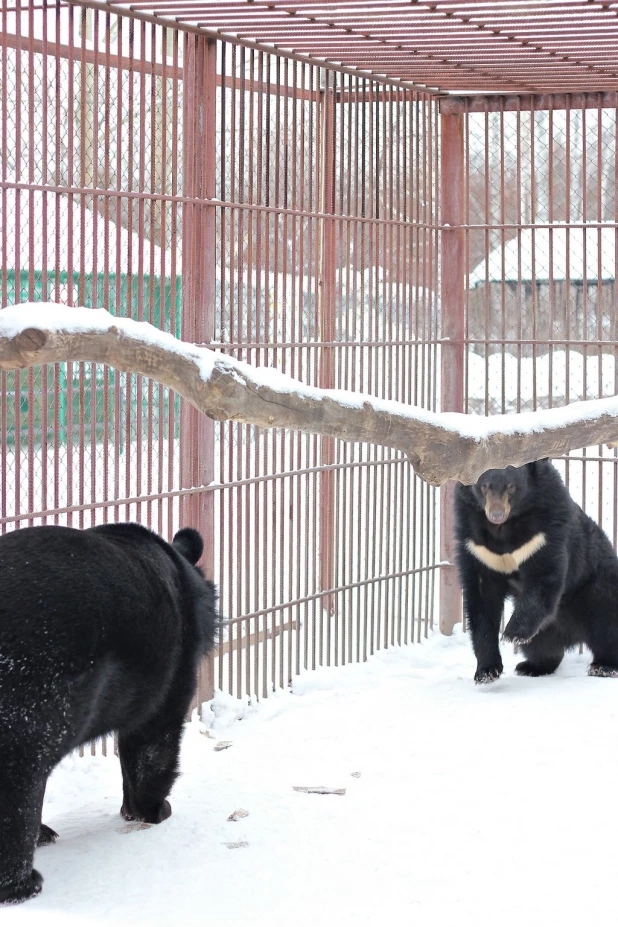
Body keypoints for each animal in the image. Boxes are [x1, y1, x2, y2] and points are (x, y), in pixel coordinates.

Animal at [0, 520, 219, 908]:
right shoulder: (171, 666)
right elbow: (153, 743)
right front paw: (155, 809)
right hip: (30, 692)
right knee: (19, 783)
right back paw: (24, 883)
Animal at [450, 460, 616, 684]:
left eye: (511, 487)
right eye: (484, 486)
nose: (496, 515)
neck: (503, 529)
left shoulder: (543, 534)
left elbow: (543, 578)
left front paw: (511, 633)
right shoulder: (477, 546)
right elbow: (482, 601)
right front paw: (487, 672)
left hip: (595, 586)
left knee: (606, 622)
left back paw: (604, 666)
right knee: (543, 646)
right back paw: (530, 666)